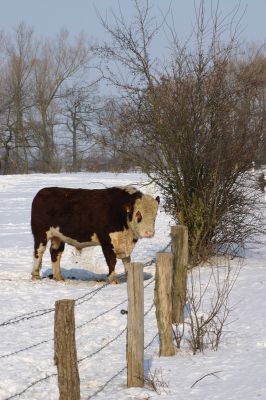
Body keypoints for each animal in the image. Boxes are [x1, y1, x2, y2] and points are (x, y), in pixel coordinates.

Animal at [31, 185, 160, 282]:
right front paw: (113, 280)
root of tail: (43, 191)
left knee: (55, 252)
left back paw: (58, 277)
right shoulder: (106, 242)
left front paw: (130, 277)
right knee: (38, 252)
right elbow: (111, 261)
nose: (149, 232)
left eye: (155, 216)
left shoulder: (124, 244)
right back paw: (35, 276)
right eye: (138, 214)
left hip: (58, 237)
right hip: (40, 234)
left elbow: (127, 261)